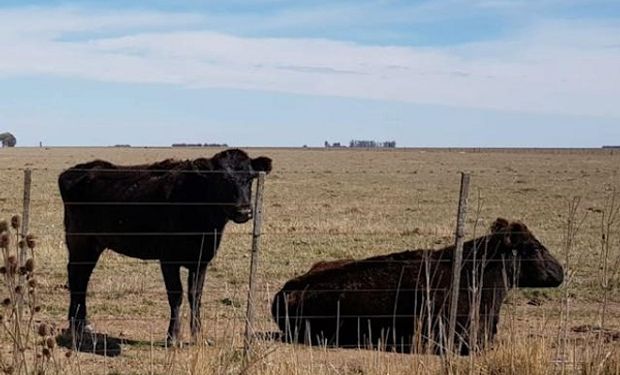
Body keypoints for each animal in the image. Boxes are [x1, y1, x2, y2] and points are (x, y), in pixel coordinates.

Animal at [58, 149, 272, 346]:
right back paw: (76, 324)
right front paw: (173, 336)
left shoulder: (201, 260)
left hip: (94, 245)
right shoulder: (168, 259)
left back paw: (82, 323)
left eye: (251, 178)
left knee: (82, 277)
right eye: (222, 179)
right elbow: (176, 295)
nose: (244, 211)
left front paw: (198, 335)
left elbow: (196, 296)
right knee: (76, 276)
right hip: (80, 242)